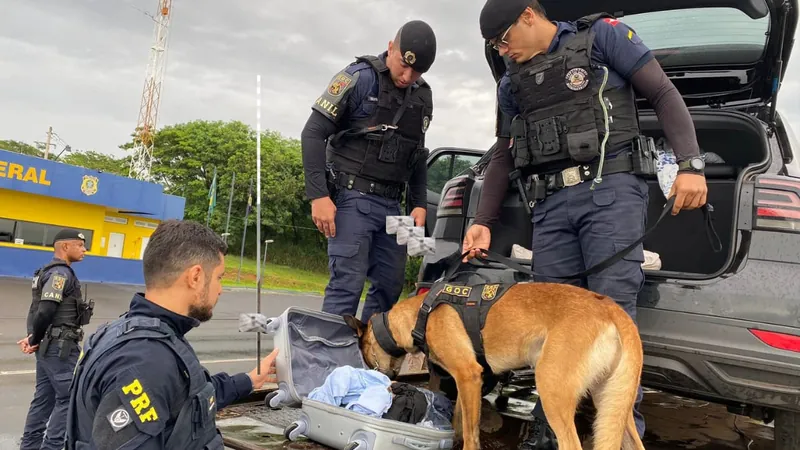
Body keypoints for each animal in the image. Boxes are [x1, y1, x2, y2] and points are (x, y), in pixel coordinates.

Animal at [340, 280, 648, 448]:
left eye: (367, 358)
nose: (379, 379)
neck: (420, 315)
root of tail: (612, 308)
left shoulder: (467, 374)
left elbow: (471, 434)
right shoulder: (467, 382)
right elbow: (461, 422)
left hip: (553, 393)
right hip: (613, 407)